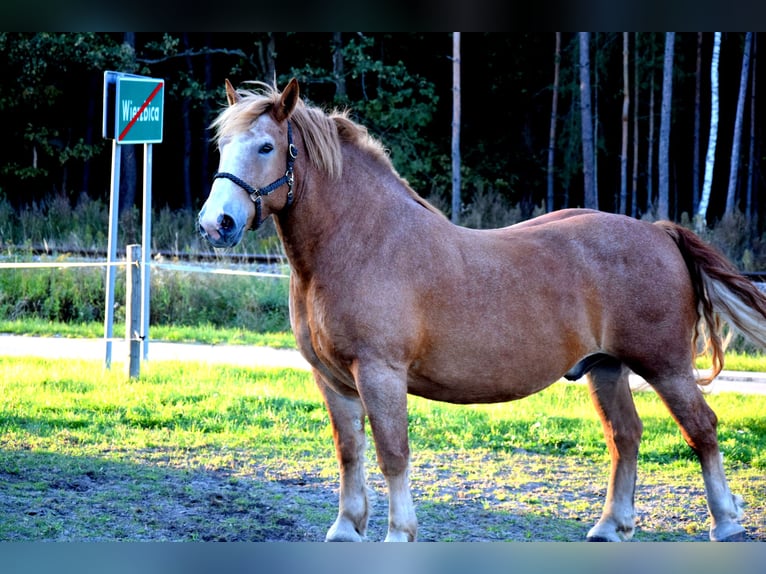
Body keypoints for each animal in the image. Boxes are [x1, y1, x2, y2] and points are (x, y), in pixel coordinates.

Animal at [198, 78, 766, 542]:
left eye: (267, 146)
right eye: (223, 146)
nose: (215, 224)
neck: (358, 242)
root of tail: (658, 232)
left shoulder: (380, 373)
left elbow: (392, 453)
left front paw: (398, 533)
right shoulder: (332, 379)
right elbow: (349, 451)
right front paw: (345, 530)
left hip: (666, 366)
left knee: (702, 429)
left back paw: (726, 522)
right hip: (606, 367)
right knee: (624, 437)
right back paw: (609, 527)